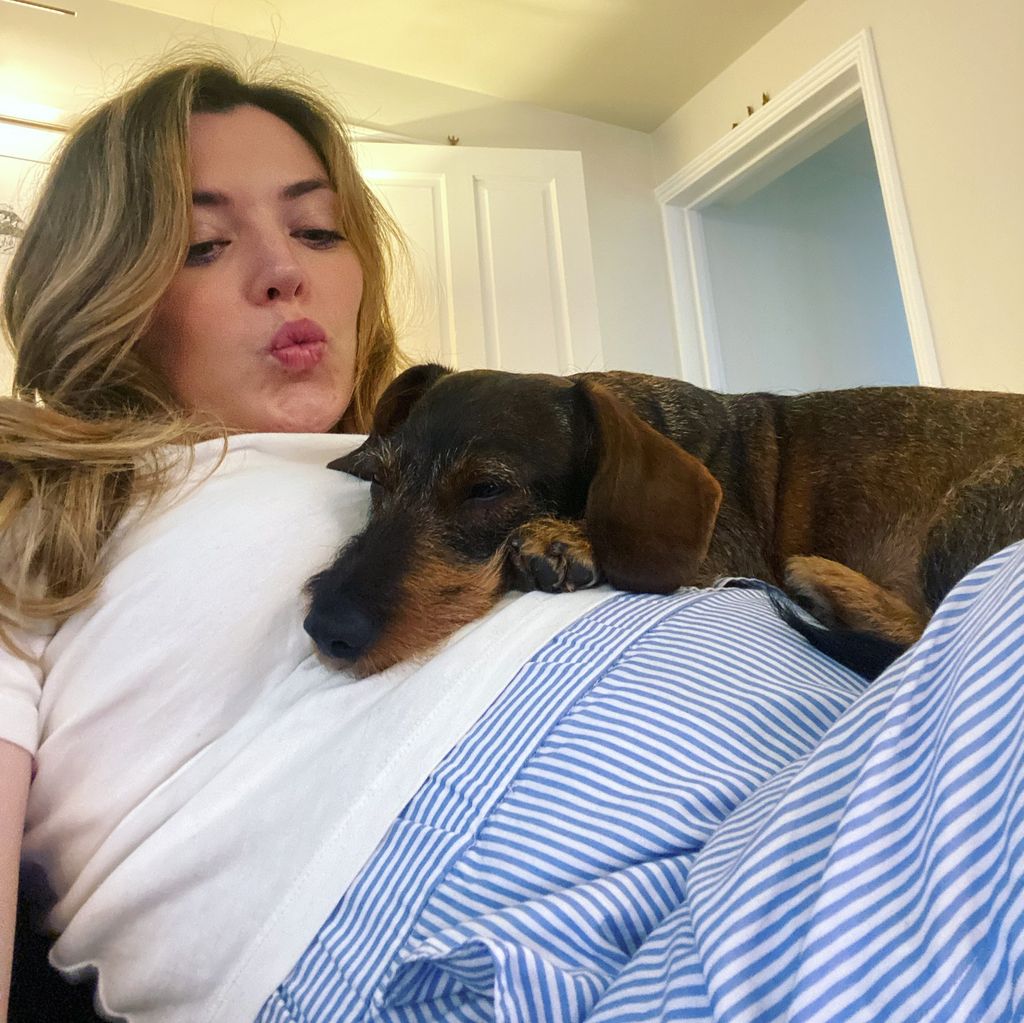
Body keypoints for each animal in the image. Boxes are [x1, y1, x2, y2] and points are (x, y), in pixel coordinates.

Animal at [303, 364, 1024, 675]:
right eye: (379, 482)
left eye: (486, 489)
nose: (326, 629)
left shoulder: (734, 549)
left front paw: (566, 540)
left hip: (971, 501)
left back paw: (833, 584)